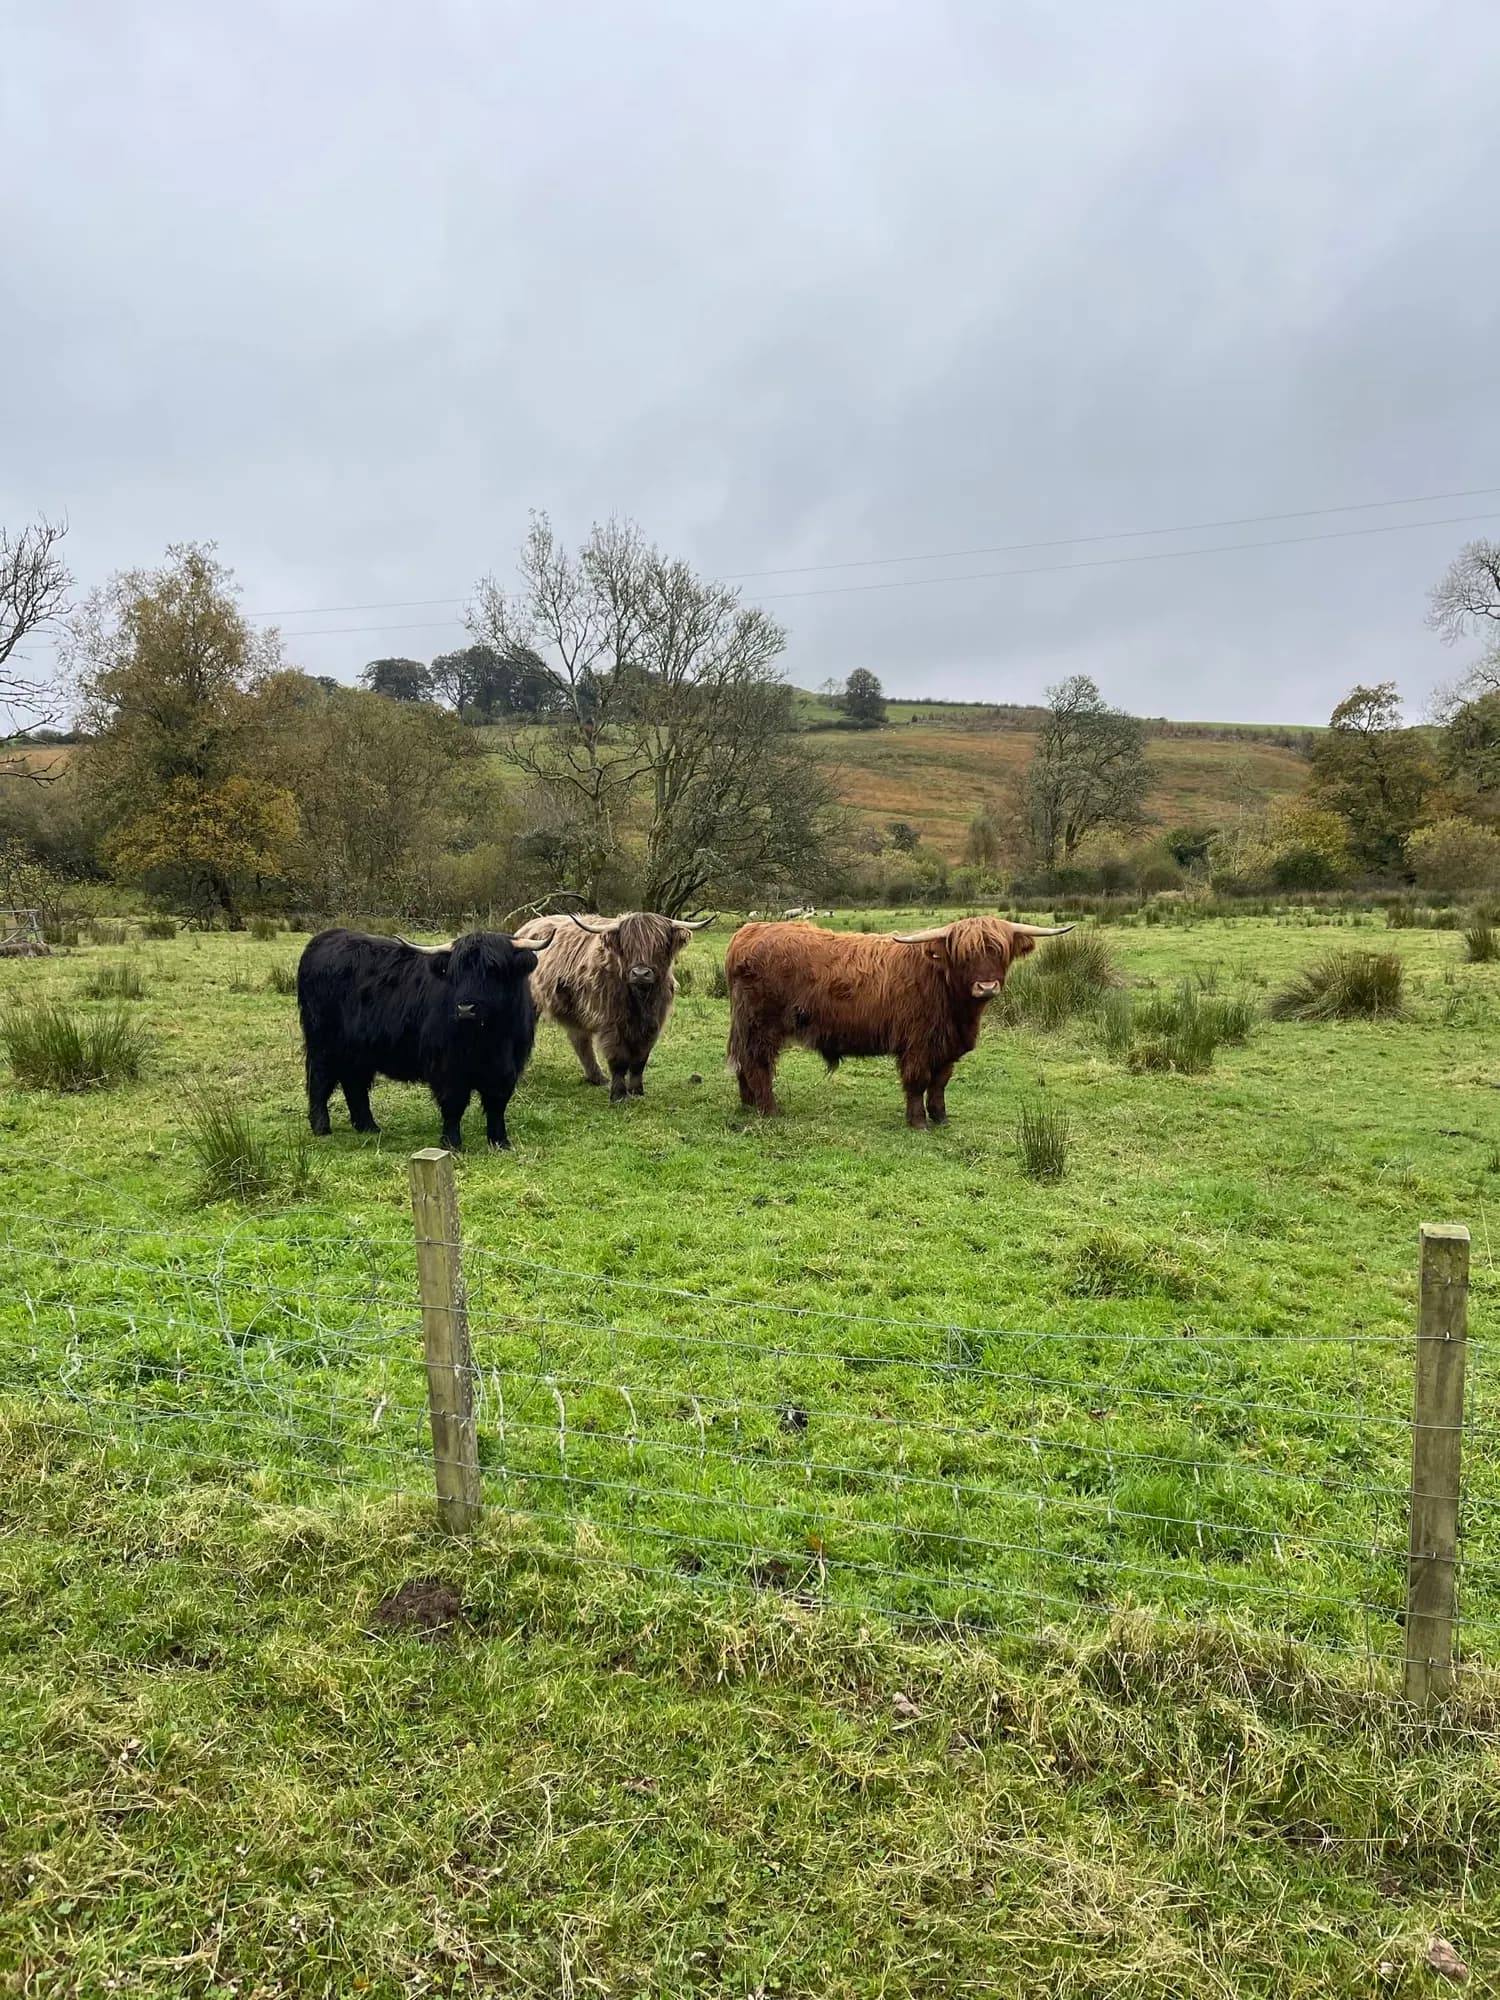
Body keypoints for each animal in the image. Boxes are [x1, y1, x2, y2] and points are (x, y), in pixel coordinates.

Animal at [297, 926, 553, 1150]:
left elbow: (497, 1104)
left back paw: (368, 1126)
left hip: (357, 1050)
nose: (466, 1009)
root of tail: (326, 937)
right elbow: (453, 1103)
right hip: (323, 1041)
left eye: (494, 969)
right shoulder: (447, 1066)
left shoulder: (507, 1067)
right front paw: (451, 1143)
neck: (489, 1039)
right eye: (455, 973)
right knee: (319, 1079)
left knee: (354, 1083)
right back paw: (322, 1127)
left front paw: (500, 1142)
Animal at [513, 910, 715, 1100]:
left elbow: (640, 1060)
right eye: (626, 946)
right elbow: (618, 1059)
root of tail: (527, 927)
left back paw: (597, 1078)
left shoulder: (653, 1023)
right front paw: (619, 1094)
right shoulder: (610, 1022)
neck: (640, 999)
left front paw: (637, 1091)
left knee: (580, 1039)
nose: (640, 974)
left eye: (659, 946)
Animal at [725, 916, 1071, 1129]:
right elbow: (918, 1081)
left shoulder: (946, 1047)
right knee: (758, 1063)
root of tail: (747, 932)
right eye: (964, 955)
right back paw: (768, 1109)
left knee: (744, 1061)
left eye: (1000, 951)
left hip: (747, 1026)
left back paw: (748, 1104)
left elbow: (940, 1083)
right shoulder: (917, 1043)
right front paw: (918, 1123)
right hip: (761, 1025)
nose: (986, 986)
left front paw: (941, 1118)